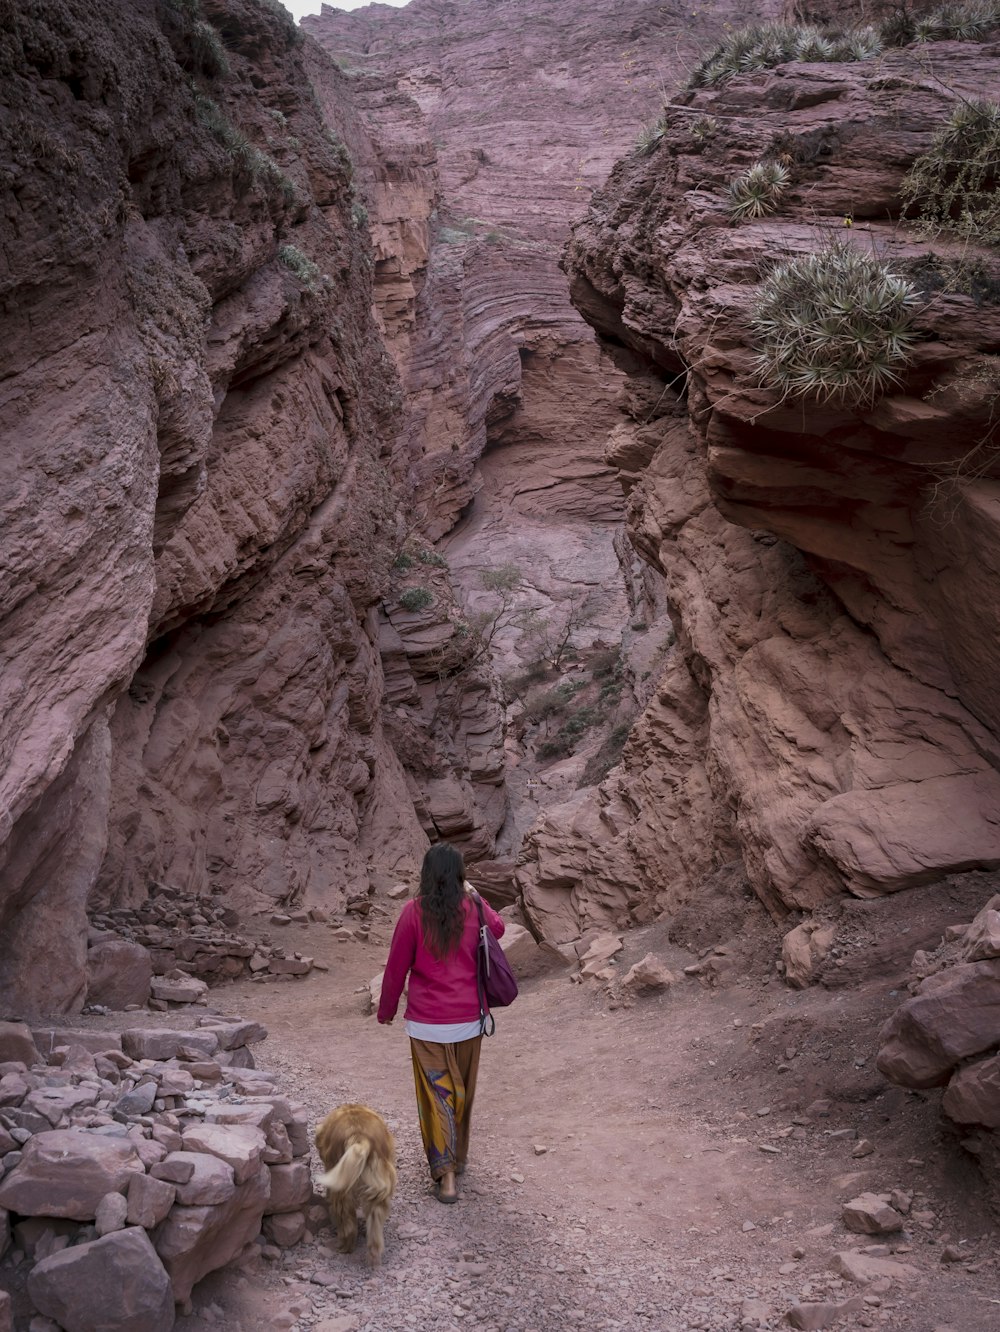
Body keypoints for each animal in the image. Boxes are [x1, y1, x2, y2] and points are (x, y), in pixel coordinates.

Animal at [314, 1102, 396, 1268]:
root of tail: (359, 1137)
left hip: (342, 1194)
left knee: (348, 1224)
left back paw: (344, 1246)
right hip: (378, 1194)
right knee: (375, 1229)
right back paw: (374, 1256)